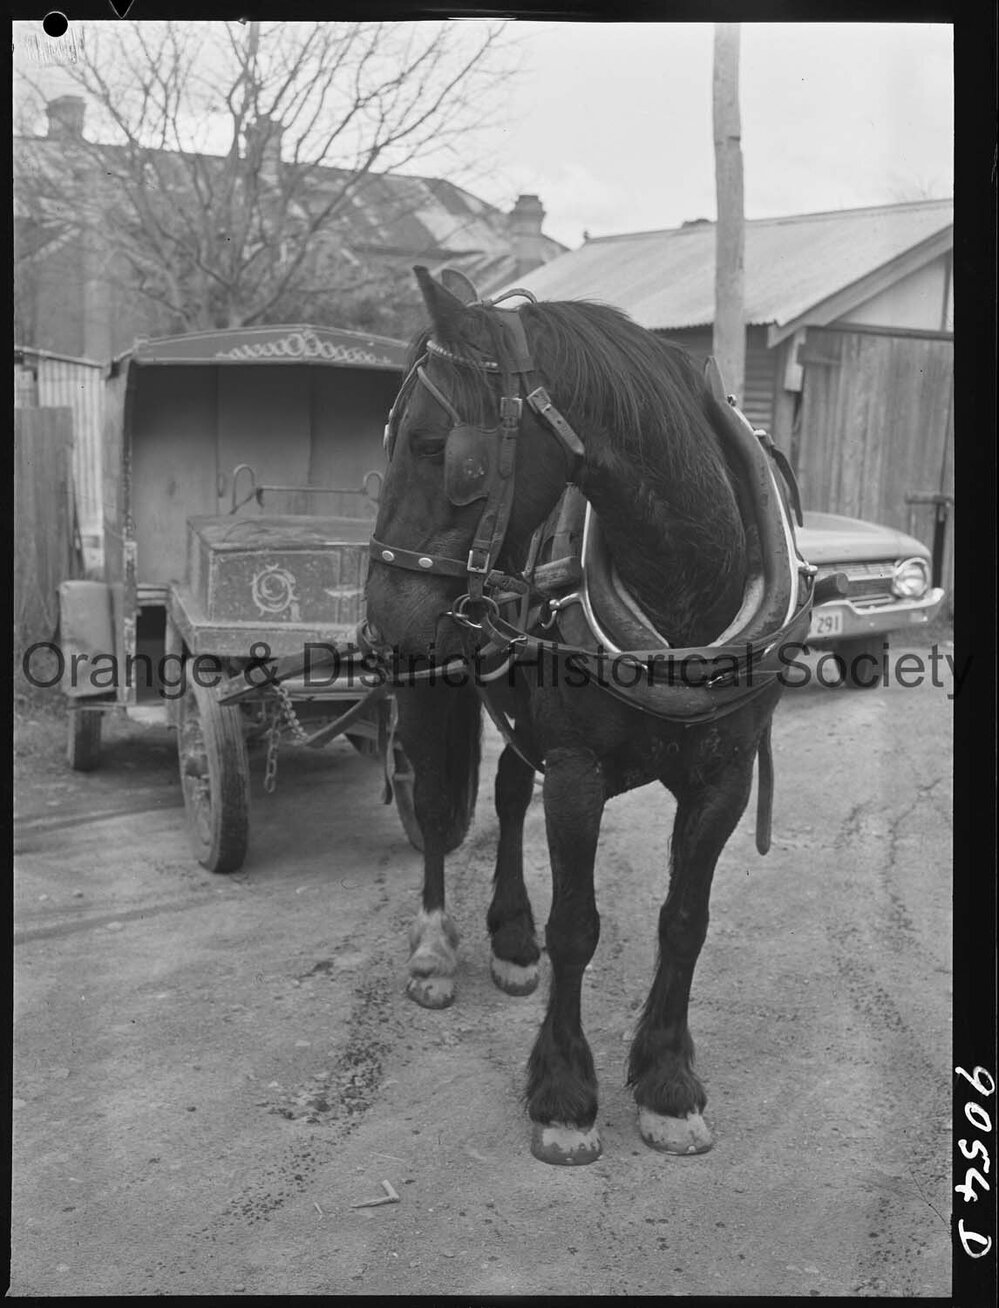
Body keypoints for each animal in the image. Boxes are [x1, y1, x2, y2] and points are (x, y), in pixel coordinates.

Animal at [361, 266, 814, 1166]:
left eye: (432, 447)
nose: (382, 620)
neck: (684, 585)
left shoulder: (724, 777)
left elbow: (684, 921)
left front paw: (667, 1083)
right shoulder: (576, 771)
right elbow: (576, 926)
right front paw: (565, 1095)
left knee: (505, 793)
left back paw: (508, 939)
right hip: (434, 693)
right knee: (439, 814)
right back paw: (435, 950)